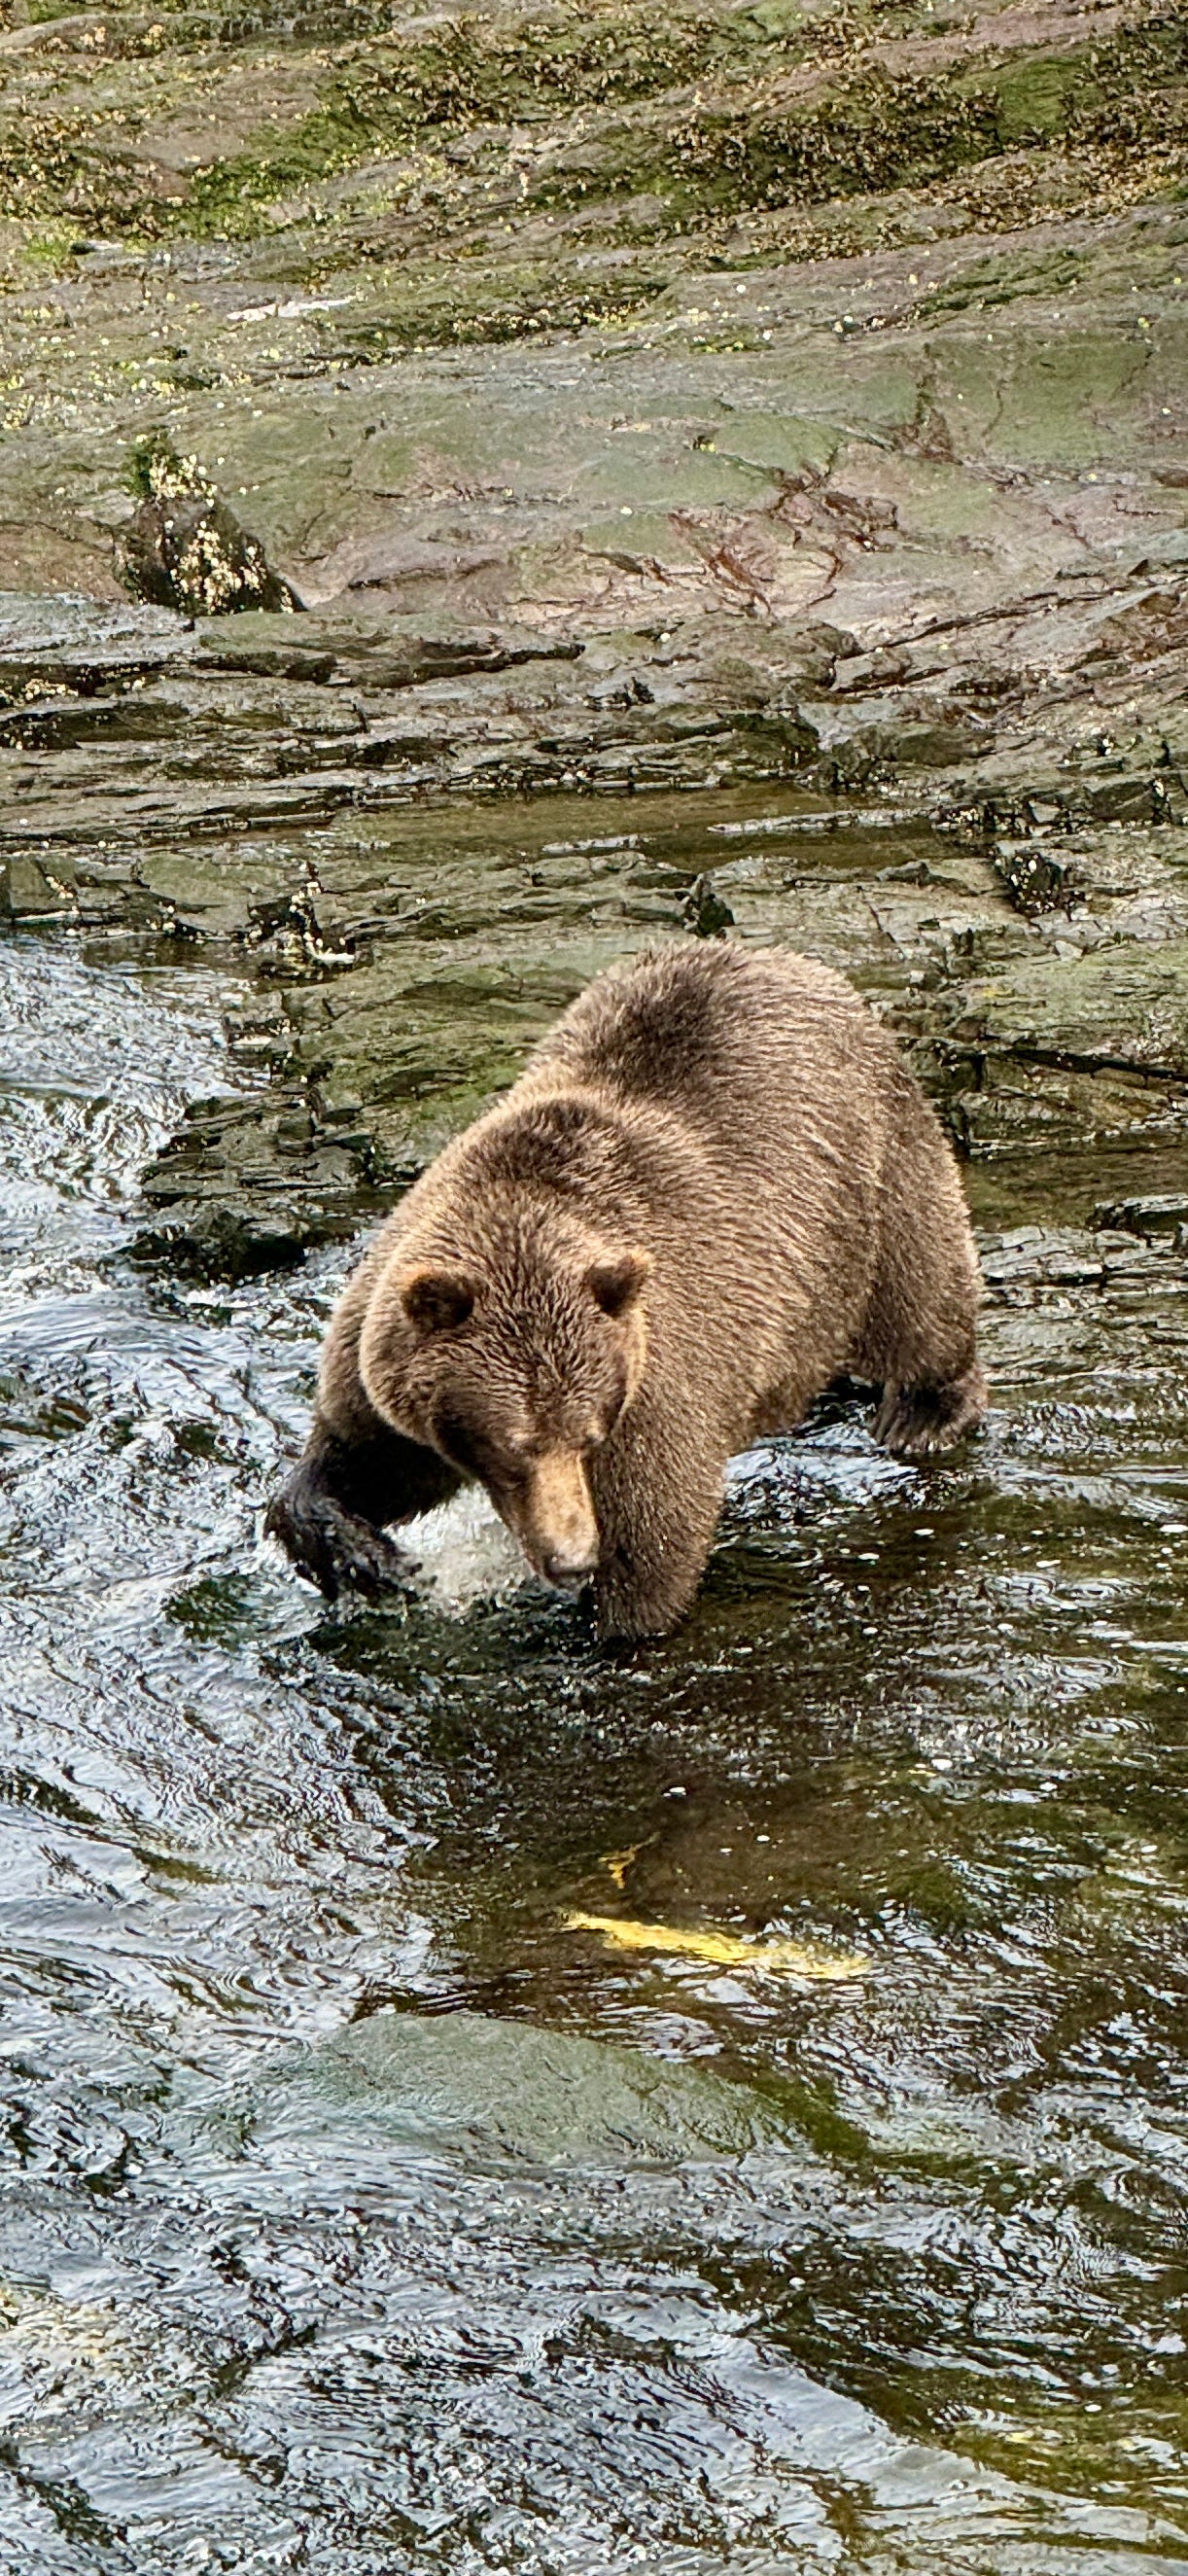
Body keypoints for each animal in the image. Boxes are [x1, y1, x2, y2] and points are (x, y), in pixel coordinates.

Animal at [266, 942, 979, 1628]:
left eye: (588, 1436)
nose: (574, 1556)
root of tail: (796, 964)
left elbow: (656, 1539)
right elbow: (364, 1459)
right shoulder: (391, 1358)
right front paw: (358, 1552)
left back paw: (923, 1410)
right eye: (515, 1445)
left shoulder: (649, 1378)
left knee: (918, 1294)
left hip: (864, 1183)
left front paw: (618, 1625)